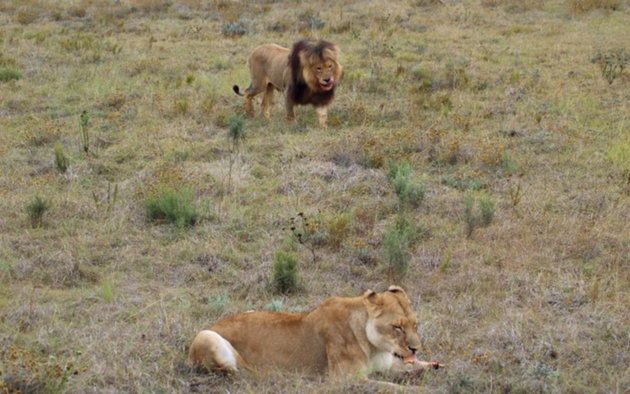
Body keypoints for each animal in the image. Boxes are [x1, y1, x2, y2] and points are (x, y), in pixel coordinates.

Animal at [190, 286, 442, 382]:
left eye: (415, 325)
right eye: (397, 327)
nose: (415, 348)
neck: (374, 347)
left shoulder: (385, 365)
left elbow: (410, 368)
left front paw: (433, 366)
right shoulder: (346, 379)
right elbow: (392, 387)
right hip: (206, 336)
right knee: (231, 370)